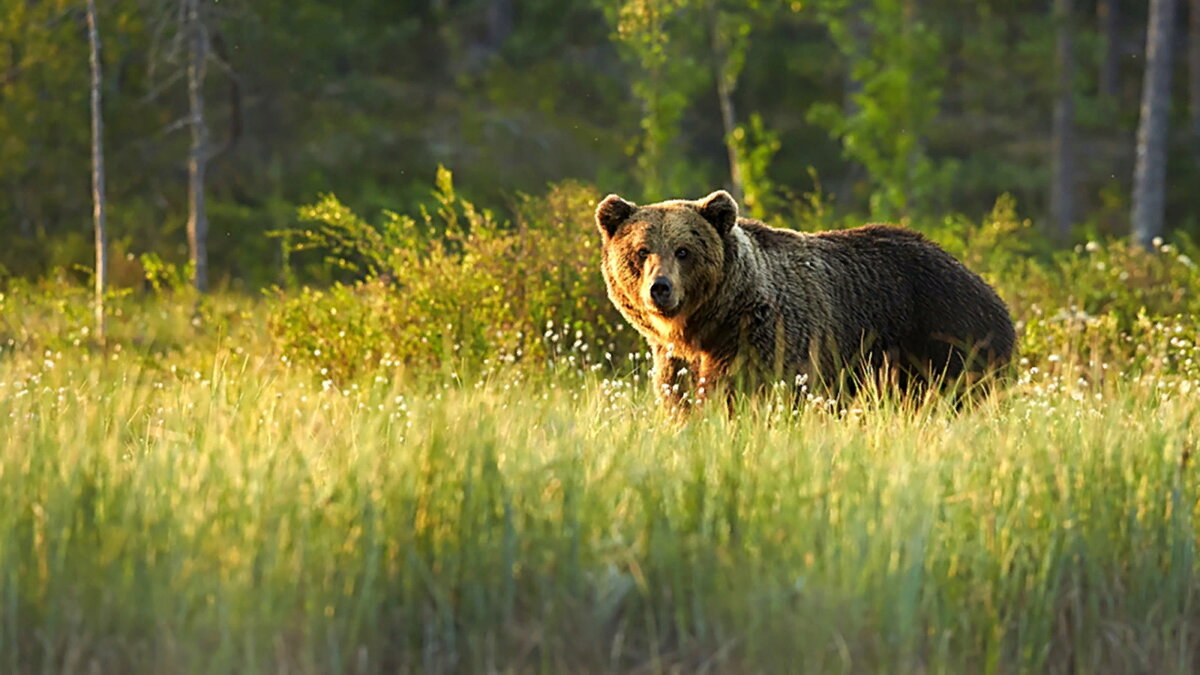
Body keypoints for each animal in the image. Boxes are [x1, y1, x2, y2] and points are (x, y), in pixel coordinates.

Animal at [592, 189, 1012, 410]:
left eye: (683, 251)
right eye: (642, 250)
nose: (660, 288)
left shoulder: (768, 339)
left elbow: (754, 393)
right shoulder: (677, 359)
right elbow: (681, 398)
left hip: (946, 336)